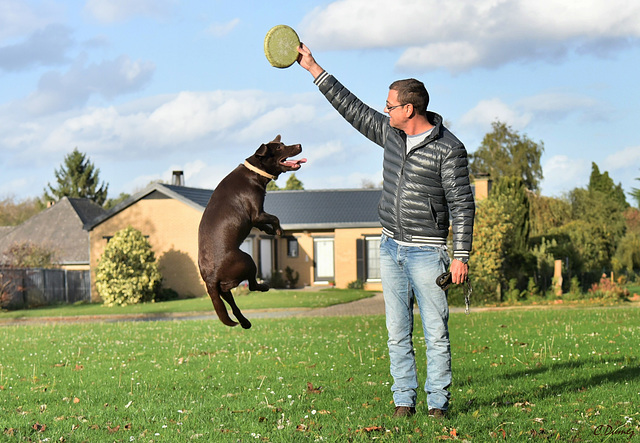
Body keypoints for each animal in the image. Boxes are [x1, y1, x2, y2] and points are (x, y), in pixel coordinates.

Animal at [198, 135, 304, 330]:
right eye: (279, 147)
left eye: (283, 144)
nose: (299, 145)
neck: (256, 171)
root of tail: (210, 278)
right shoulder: (256, 213)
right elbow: (275, 218)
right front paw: (278, 231)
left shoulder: (257, 218)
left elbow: (266, 223)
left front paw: (269, 230)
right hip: (248, 260)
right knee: (252, 286)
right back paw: (265, 287)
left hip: (223, 289)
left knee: (233, 305)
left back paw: (245, 322)